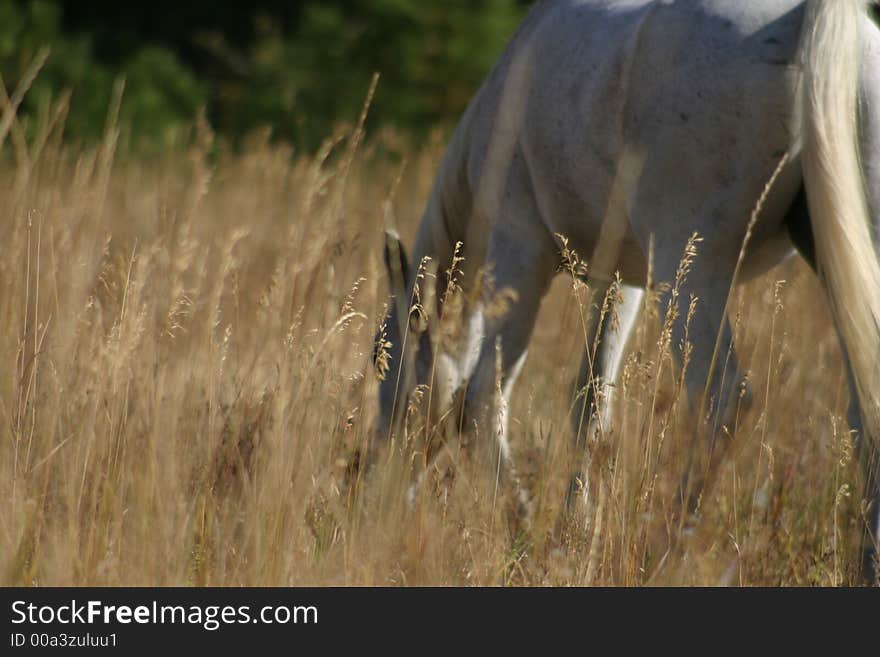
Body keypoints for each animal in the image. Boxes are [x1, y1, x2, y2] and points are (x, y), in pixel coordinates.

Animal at [372, 0, 880, 584]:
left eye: (383, 367)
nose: (371, 490)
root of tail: (802, 20)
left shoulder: (519, 258)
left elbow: (481, 399)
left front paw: (522, 524)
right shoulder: (619, 282)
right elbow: (590, 407)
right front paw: (572, 533)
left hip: (690, 272)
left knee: (721, 400)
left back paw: (664, 550)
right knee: (864, 413)